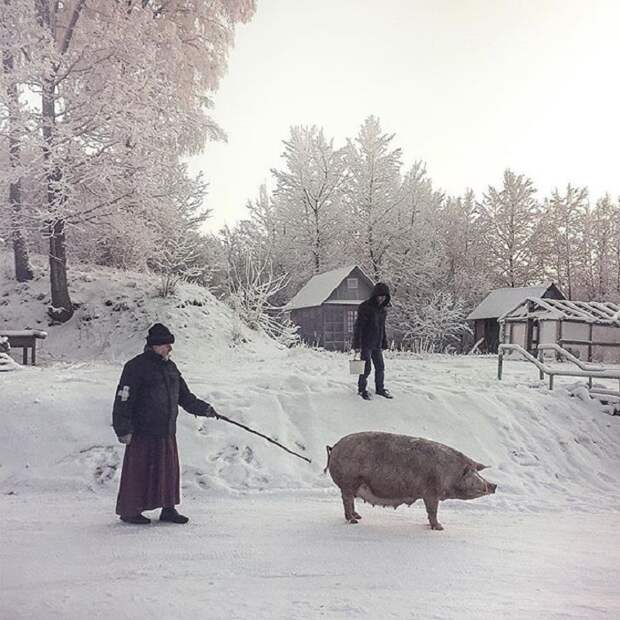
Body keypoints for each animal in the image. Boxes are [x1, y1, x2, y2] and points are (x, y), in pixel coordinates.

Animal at [326, 432, 496, 528]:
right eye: (473, 473)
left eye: (477, 471)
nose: (494, 485)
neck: (450, 472)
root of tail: (334, 446)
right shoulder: (431, 492)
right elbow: (432, 511)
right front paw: (439, 527)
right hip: (348, 482)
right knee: (347, 501)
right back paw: (353, 521)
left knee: (351, 502)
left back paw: (358, 516)